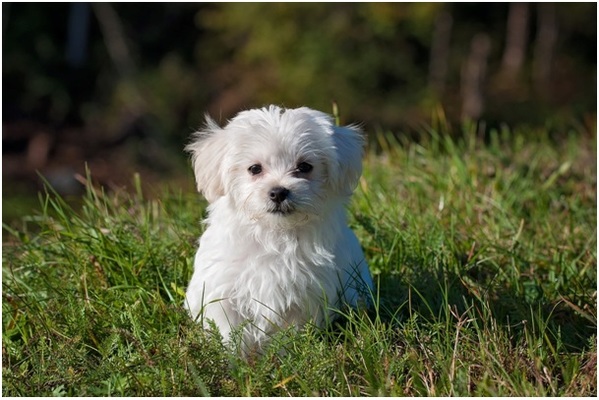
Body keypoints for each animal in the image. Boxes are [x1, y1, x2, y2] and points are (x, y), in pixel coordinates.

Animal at [184, 105, 370, 354]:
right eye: (254, 169)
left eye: (304, 167)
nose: (278, 192)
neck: (274, 234)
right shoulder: (222, 290)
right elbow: (229, 330)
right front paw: (234, 358)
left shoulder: (305, 296)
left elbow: (291, 331)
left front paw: (285, 355)